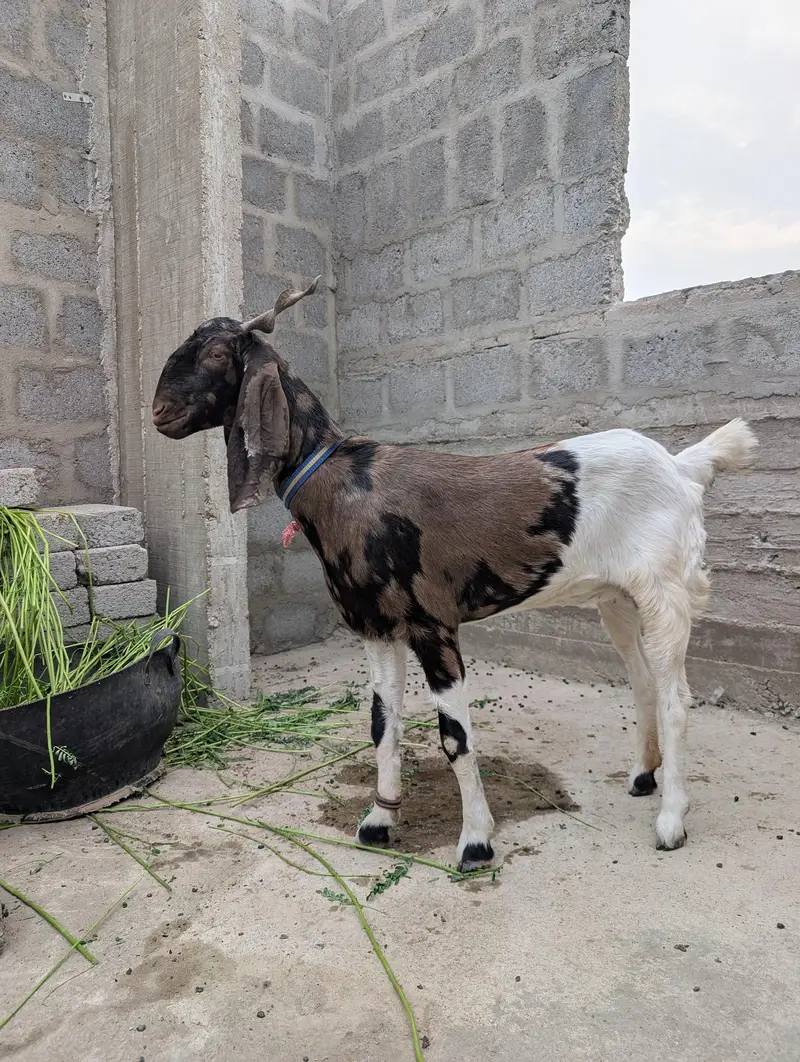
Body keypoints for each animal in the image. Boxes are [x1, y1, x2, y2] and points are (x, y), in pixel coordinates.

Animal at [152, 279, 758, 871]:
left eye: (215, 353)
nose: (158, 411)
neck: (346, 483)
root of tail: (682, 467)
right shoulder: (376, 628)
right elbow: (383, 725)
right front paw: (379, 821)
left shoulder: (433, 625)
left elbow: (455, 738)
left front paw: (476, 842)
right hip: (618, 599)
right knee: (643, 682)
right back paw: (643, 776)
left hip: (666, 591)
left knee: (677, 698)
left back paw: (671, 821)